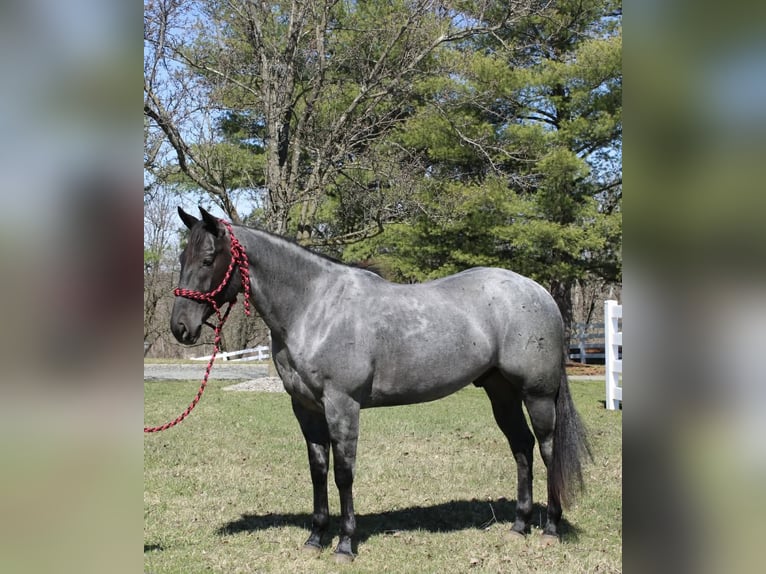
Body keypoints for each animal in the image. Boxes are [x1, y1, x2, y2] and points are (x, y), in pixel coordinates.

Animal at [170, 206, 591, 562]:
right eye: (181, 259)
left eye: (207, 260)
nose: (180, 328)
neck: (314, 307)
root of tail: (539, 293)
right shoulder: (305, 408)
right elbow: (318, 469)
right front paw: (315, 539)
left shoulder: (342, 406)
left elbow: (344, 473)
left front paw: (344, 545)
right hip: (500, 391)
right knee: (521, 447)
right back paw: (519, 526)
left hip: (537, 394)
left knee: (548, 449)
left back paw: (550, 528)